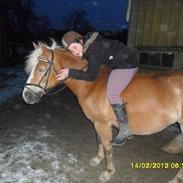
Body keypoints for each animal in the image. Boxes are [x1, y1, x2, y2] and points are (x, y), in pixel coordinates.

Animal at [22, 40, 183, 182]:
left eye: (41, 69)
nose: (26, 96)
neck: (90, 85)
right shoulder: (97, 122)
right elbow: (99, 141)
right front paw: (97, 159)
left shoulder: (102, 124)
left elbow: (107, 147)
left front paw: (108, 172)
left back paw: (175, 179)